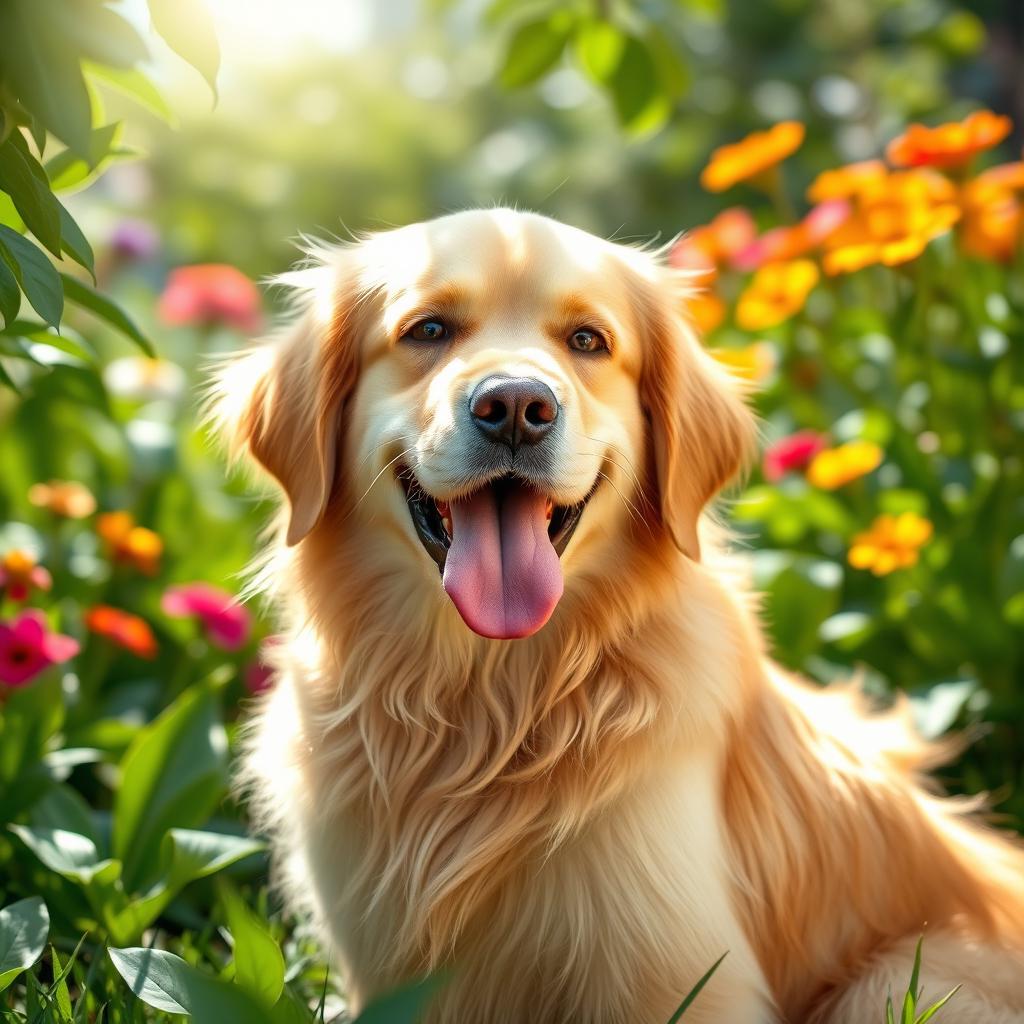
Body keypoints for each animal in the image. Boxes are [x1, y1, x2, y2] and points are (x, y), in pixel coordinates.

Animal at [214, 209, 1024, 1024]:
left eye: (587, 341)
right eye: (429, 329)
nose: (516, 407)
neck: (488, 697)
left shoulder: (679, 975)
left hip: (892, 980)